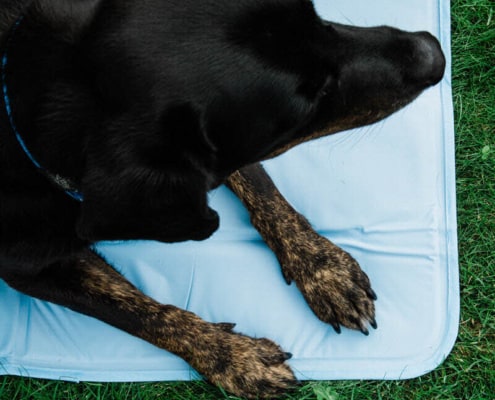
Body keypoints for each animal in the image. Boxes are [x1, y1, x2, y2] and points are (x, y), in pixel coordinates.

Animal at [0, 0, 446, 396]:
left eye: (319, 19)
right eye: (314, 98)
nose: (434, 53)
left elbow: (258, 184)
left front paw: (321, 268)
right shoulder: (30, 267)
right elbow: (133, 311)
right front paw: (234, 358)